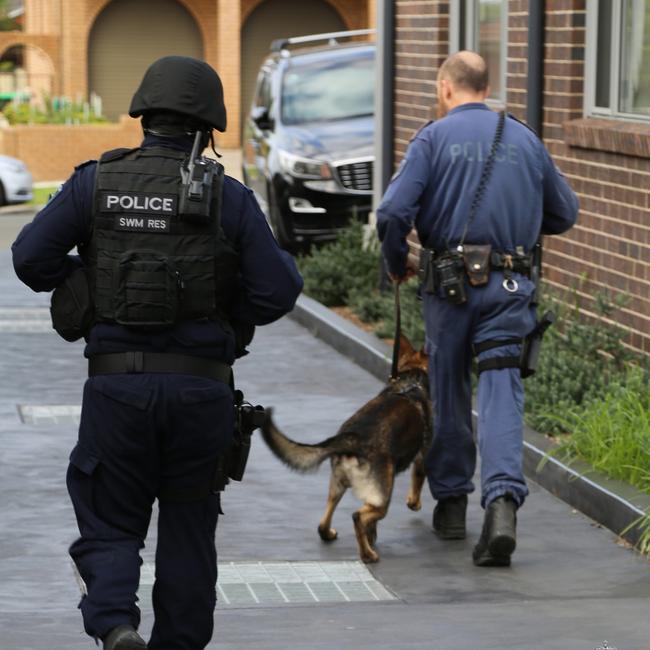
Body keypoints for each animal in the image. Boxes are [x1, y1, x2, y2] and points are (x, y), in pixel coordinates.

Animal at [258, 336, 430, 560]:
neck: (411, 379)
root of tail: (352, 439)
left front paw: (372, 536)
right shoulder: (422, 457)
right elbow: (418, 480)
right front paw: (414, 503)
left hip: (337, 487)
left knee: (324, 523)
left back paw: (333, 535)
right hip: (382, 498)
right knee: (358, 516)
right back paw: (368, 554)